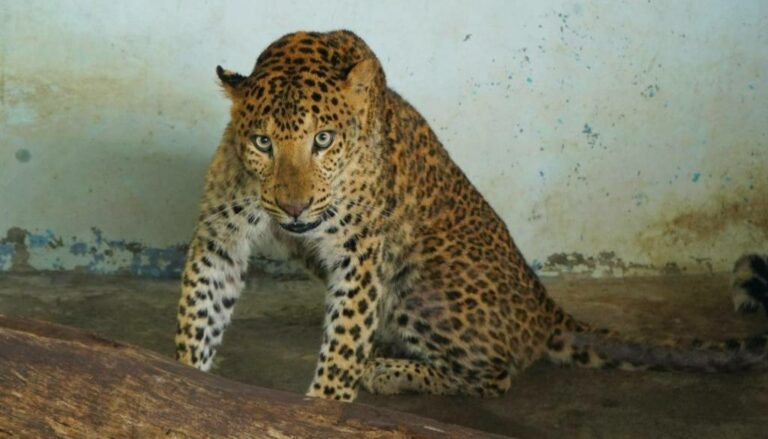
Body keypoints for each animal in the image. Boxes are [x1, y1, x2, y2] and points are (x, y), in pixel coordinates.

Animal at [175, 30, 768, 402]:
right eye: (262, 142)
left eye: (322, 140)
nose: (294, 206)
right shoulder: (219, 238)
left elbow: (341, 348)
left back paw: (385, 369)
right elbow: (197, 318)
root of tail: (546, 309)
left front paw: (324, 404)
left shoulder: (361, 256)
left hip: (420, 286)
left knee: (495, 374)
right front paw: (184, 385)